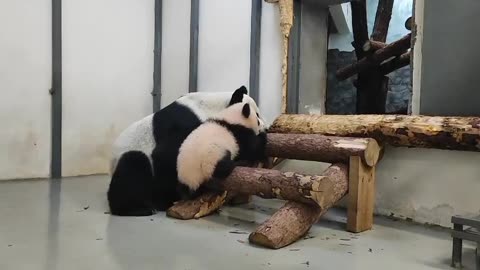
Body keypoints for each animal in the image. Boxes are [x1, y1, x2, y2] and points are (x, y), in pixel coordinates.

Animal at [106, 85, 268, 216]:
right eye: (257, 116)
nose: (266, 128)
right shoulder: (184, 124)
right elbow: (165, 156)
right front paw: (165, 200)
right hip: (131, 153)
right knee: (132, 168)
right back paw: (135, 208)